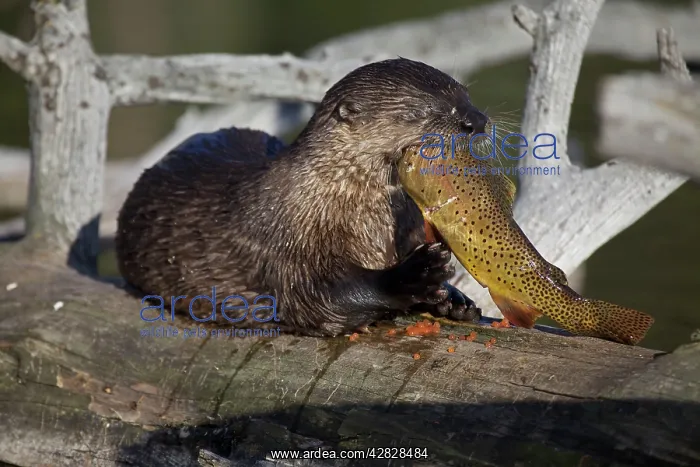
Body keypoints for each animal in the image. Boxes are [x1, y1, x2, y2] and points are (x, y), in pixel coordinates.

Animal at [116, 57, 489, 336]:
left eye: (466, 96)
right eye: (419, 112)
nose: (477, 119)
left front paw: (454, 299)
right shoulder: (287, 242)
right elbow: (318, 297)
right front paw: (415, 273)